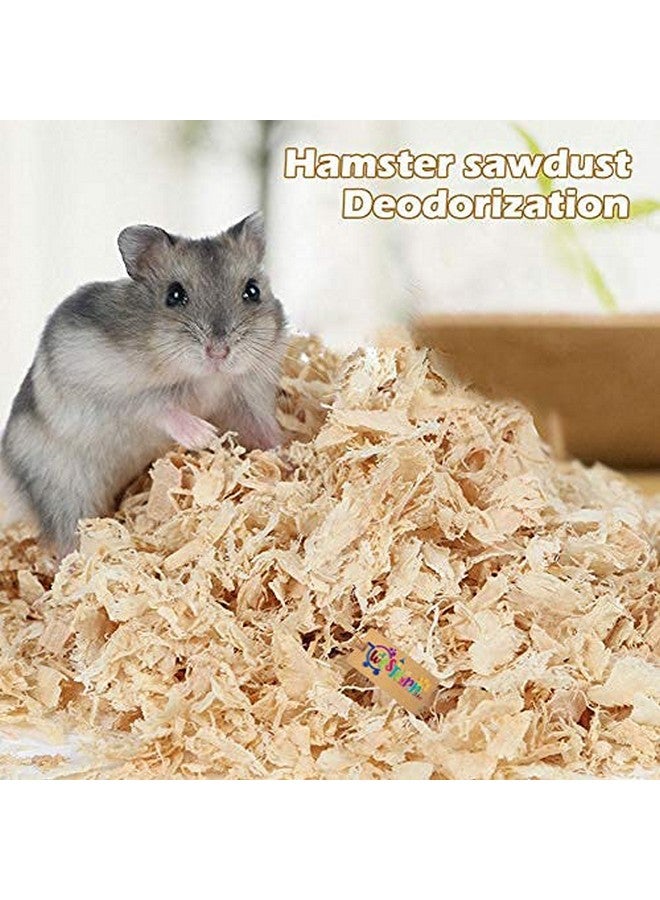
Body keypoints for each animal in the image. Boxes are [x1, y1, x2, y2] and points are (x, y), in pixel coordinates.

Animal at [0, 212, 286, 555]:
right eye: (174, 295)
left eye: (252, 291)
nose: (218, 352)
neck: (207, 377)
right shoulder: (109, 392)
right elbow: (158, 407)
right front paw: (203, 435)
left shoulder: (246, 396)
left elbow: (263, 429)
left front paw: (287, 455)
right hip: (62, 489)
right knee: (66, 541)